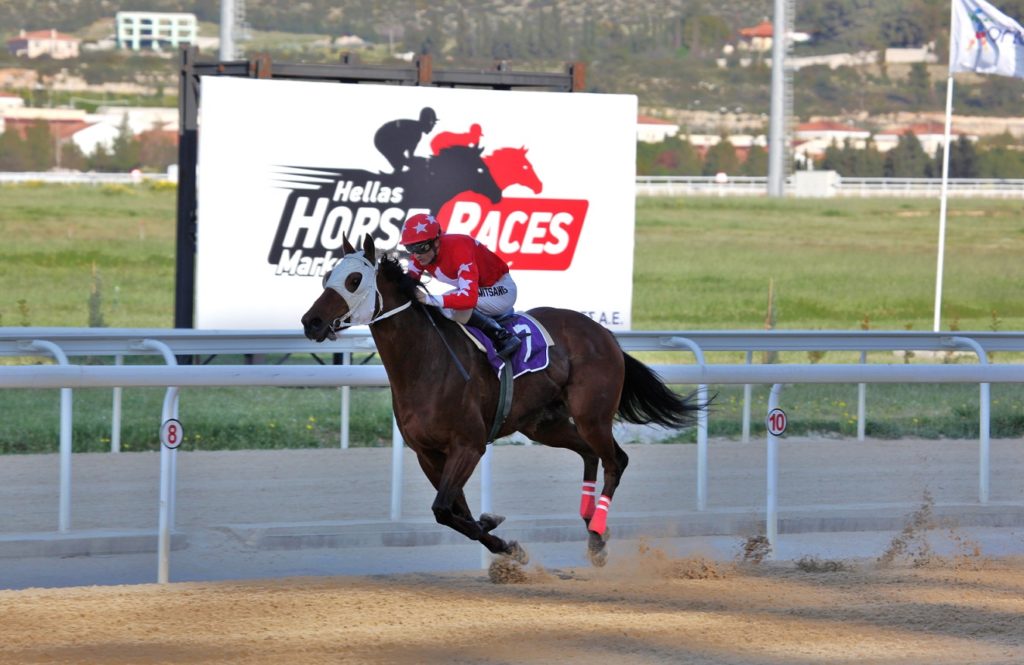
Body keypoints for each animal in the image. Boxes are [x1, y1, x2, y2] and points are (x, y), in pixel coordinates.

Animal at [299, 235, 704, 561]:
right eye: (326, 277)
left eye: (354, 280)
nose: (310, 322)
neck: (425, 362)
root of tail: (604, 334)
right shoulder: (428, 454)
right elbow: (455, 511)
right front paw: (496, 534)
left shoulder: (468, 445)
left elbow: (443, 509)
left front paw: (501, 539)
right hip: (544, 424)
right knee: (590, 455)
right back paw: (590, 521)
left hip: (592, 415)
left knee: (616, 460)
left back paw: (597, 531)